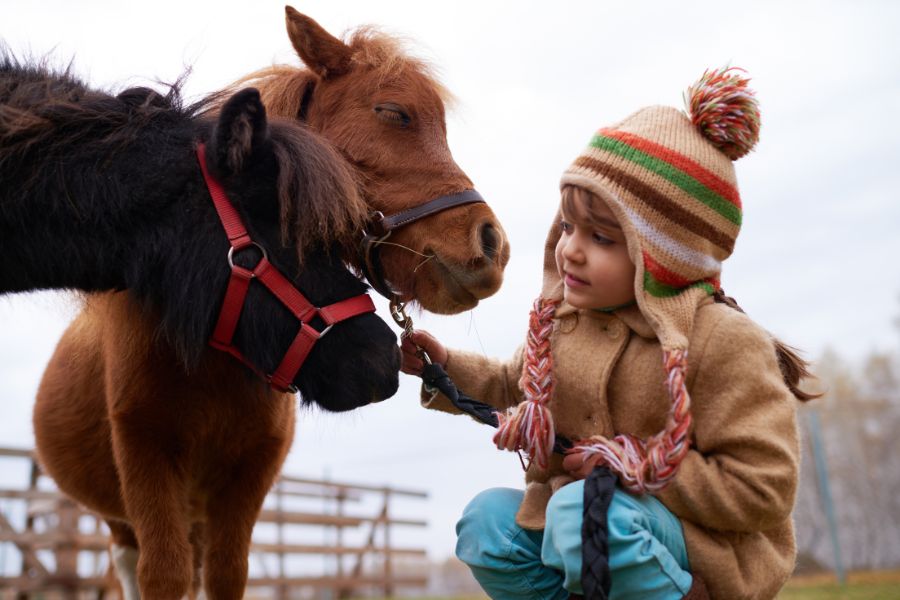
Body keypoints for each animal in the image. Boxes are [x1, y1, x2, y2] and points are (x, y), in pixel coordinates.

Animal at [35, 8, 510, 600]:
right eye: (393, 112)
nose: (491, 246)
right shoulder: (146, 456)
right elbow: (162, 575)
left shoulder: (250, 473)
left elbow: (226, 574)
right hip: (123, 518)